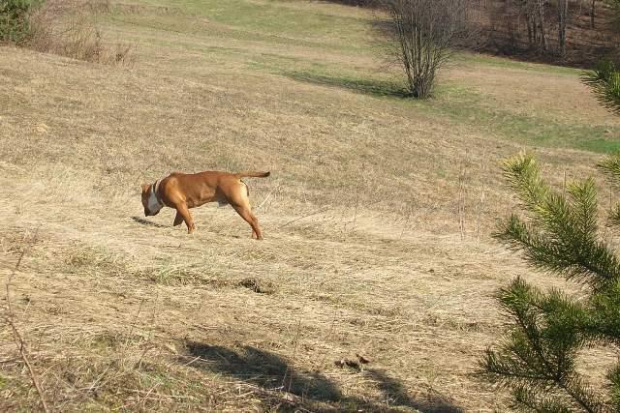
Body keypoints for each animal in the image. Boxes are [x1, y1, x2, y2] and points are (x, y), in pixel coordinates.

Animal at [142, 169, 270, 237]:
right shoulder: (181, 209)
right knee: (252, 221)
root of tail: (234, 176)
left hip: (239, 206)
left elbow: (189, 221)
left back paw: (259, 238)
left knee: (253, 220)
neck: (157, 189)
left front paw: (190, 233)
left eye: (143, 202)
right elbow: (178, 221)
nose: (145, 213)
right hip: (245, 206)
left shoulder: (181, 206)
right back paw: (254, 236)